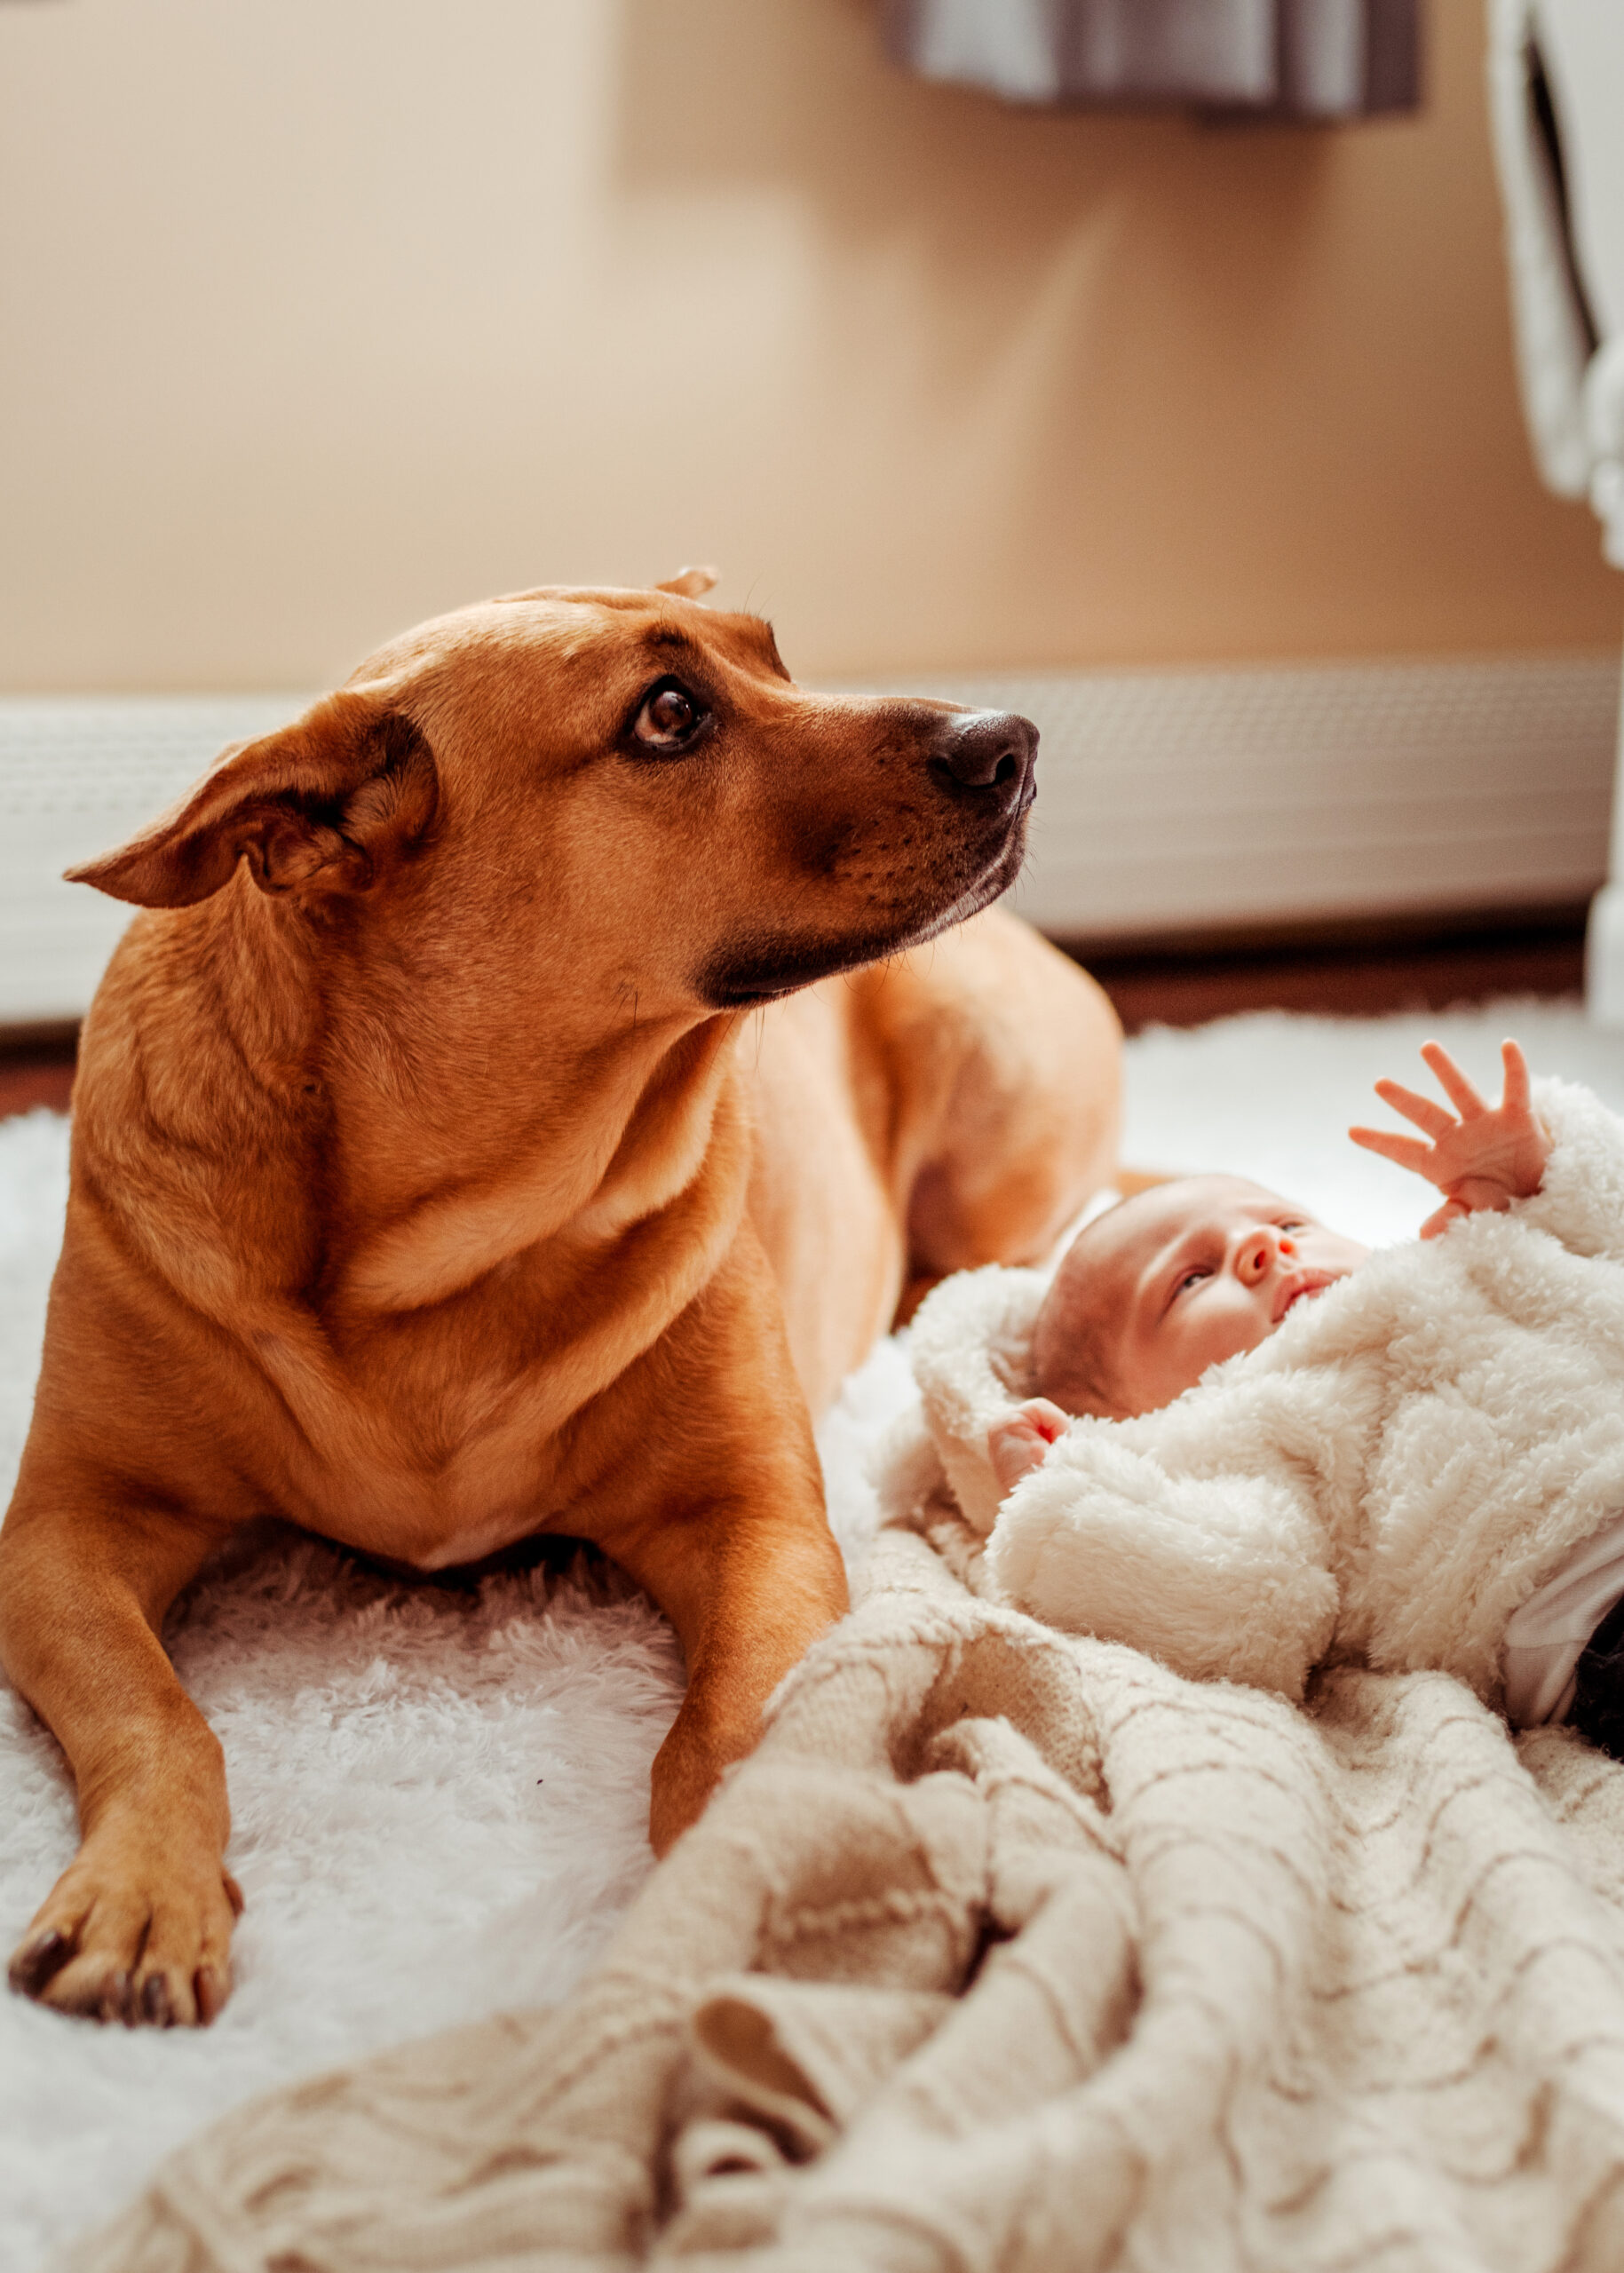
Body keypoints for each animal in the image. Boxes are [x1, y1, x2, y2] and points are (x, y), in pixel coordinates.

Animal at [0, 577, 1114, 2036]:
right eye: (667, 714)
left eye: (774, 657)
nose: (1014, 743)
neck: (441, 1232)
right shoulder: (65, 1529)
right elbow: (156, 1716)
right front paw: (145, 1883)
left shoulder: (755, 1519)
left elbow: (735, 1725)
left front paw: (748, 1877)